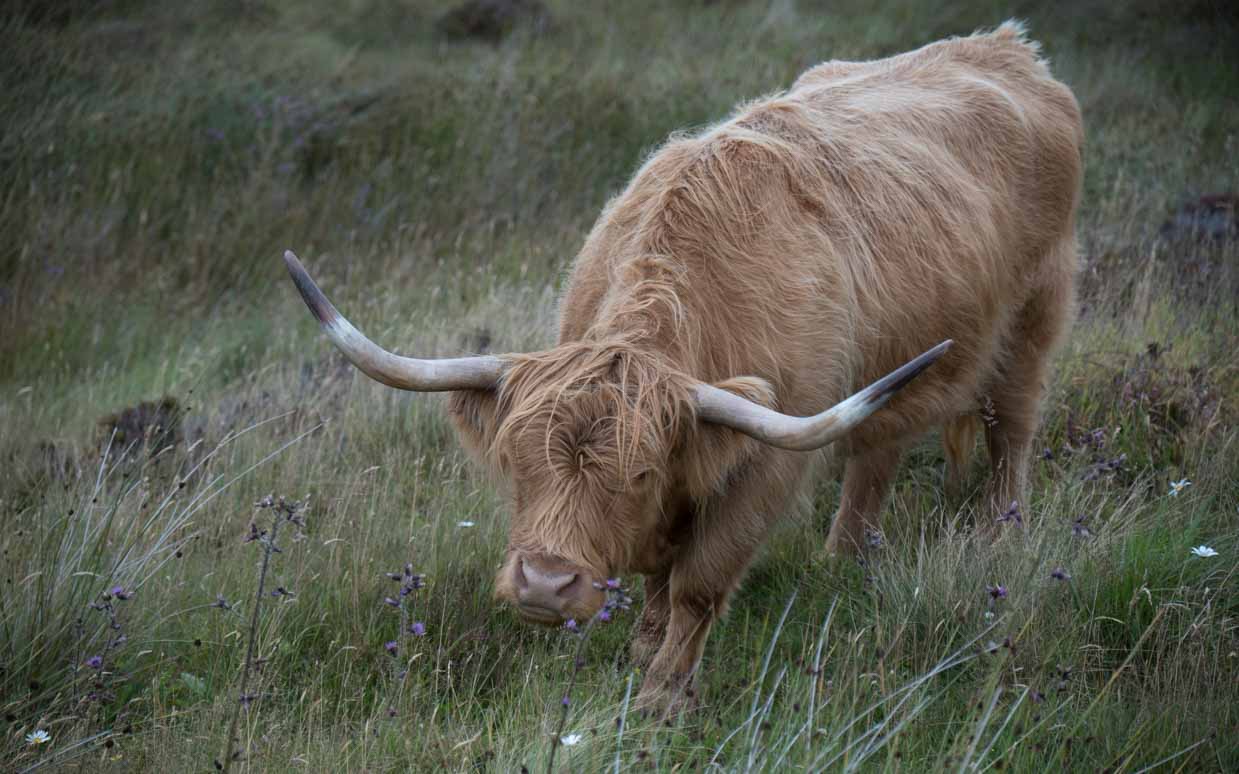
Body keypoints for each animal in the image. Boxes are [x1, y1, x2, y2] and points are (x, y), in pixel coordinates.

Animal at [284, 22, 1080, 713]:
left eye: (638, 472)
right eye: (517, 460)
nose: (544, 585)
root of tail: (1006, 46)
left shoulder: (765, 464)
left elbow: (697, 582)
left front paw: (663, 697)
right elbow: (658, 574)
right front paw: (642, 644)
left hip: (1036, 316)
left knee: (1011, 427)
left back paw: (999, 534)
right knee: (876, 454)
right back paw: (840, 559)